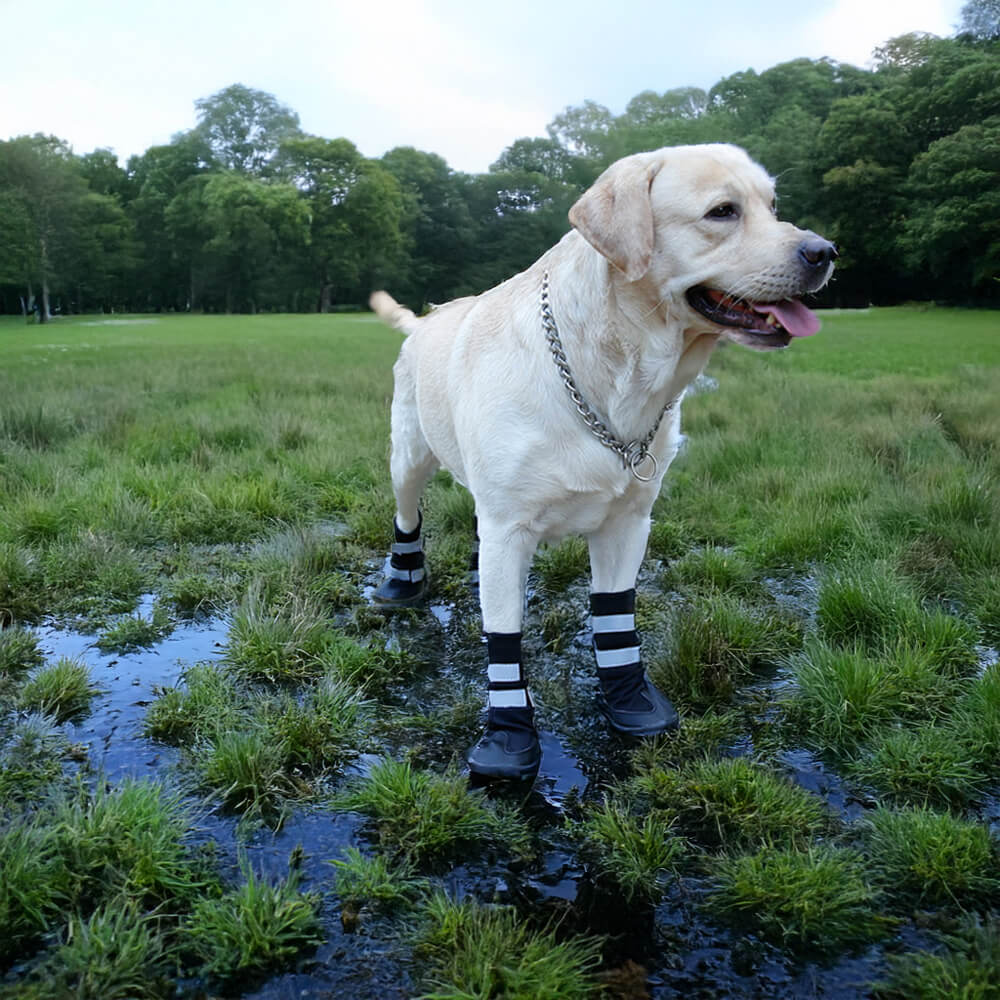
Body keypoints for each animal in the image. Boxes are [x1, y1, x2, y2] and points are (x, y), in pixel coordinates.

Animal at [368, 143, 836, 780]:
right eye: (722, 211)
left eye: (773, 206)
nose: (824, 252)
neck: (612, 374)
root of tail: (426, 319)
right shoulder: (510, 524)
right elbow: (503, 635)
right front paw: (508, 734)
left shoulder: (629, 519)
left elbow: (614, 615)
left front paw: (630, 701)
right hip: (409, 453)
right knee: (408, 512)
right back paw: (402, 580)